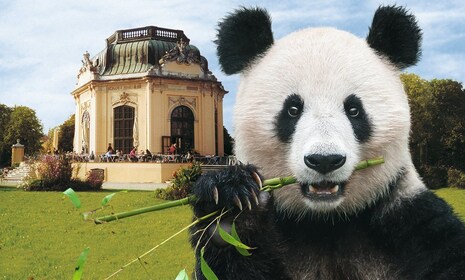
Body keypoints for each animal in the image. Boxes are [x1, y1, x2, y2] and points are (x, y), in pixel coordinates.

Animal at [188, 4, 464, 280]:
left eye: (354, 110)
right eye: (292, 110)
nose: (324, 160)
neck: (327, 221)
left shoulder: (410, 222)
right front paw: (229, 209)